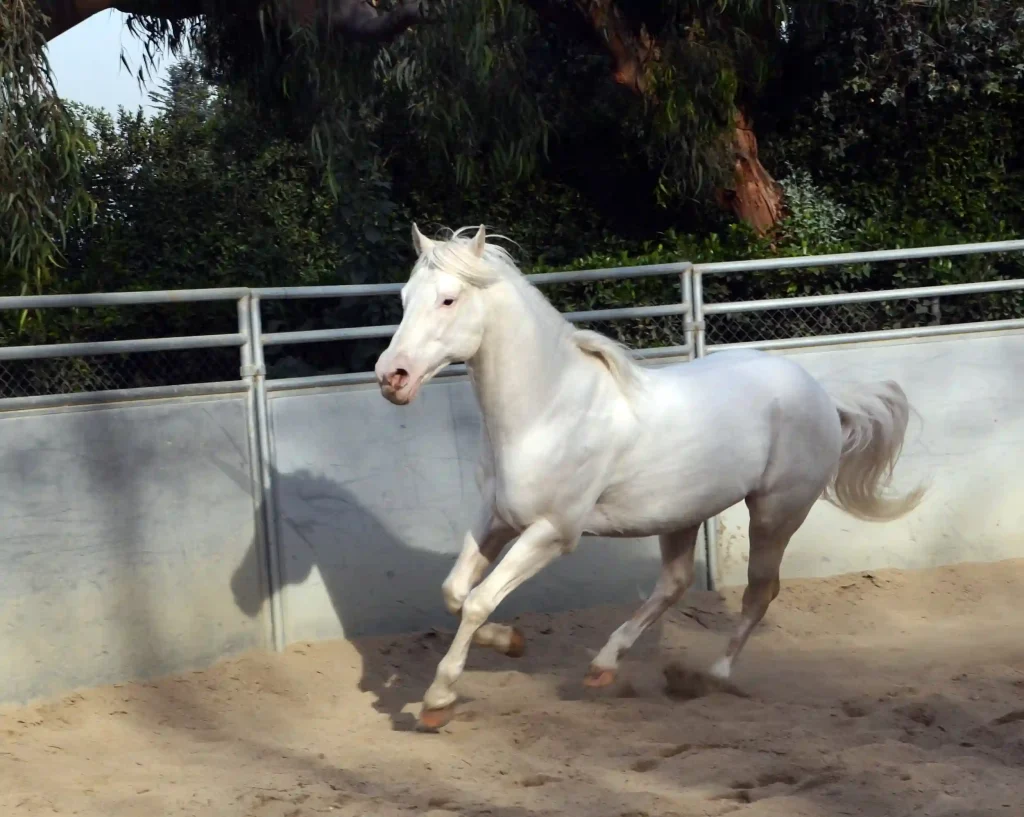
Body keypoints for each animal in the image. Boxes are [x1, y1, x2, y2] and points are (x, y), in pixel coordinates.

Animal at [372, 224, 925, 728]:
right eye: (403, 298)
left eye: (448, 299)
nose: (391, 376)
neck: (549, 410)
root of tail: (824, 397)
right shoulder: (497, 517)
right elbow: (455, 592)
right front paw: (511, 642)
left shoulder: (552, 532)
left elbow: (478, 601)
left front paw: (438, 700)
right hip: (682, 515)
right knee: (675, 585)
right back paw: (602, 666)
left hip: (775, 514)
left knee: (758, 593)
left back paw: (711, 677)